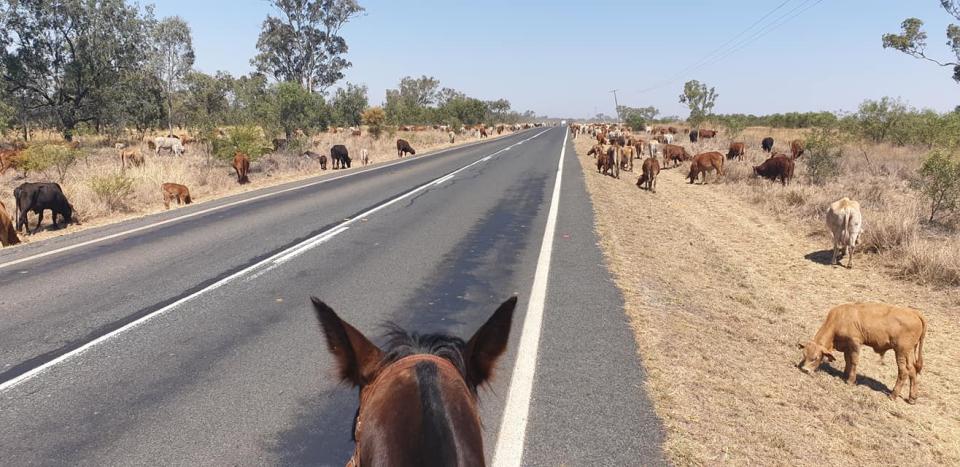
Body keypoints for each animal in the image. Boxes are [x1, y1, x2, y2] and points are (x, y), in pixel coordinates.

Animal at [800, 306, 928, 404]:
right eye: (804, 354)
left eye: (815, 358)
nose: (804, 370)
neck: (841, 318)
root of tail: (914, 313)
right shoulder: (847, 345)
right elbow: (847, 360)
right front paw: (844, 375)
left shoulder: (855, 342)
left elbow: (854, 361)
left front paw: (850, 381)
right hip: (908, 353)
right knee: (912, 371)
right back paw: (912, 398)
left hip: (901, 352)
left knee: (904, 372)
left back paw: (893, 395)